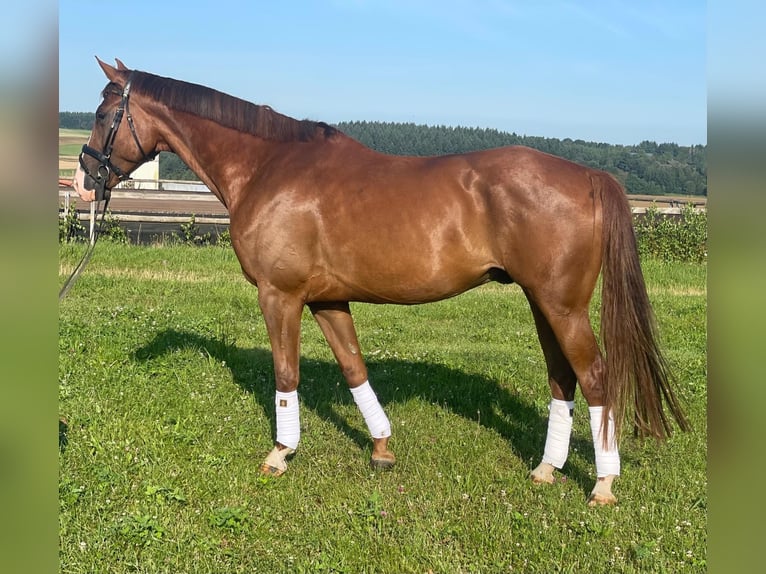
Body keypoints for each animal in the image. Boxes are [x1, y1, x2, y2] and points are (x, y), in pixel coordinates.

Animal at [73, 59, 688, 508]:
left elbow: (286, 374)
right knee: (563, 379)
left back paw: (602, 485)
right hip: (544, 304)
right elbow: (354, 368)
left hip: (563, 307)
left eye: (103, 114)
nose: (84, 181)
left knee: (596, 378)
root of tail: (588, 175)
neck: (269, 167)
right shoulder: (327, 299)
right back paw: (544, 470)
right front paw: (382, 449)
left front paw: (279, 454)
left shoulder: (280, 296)